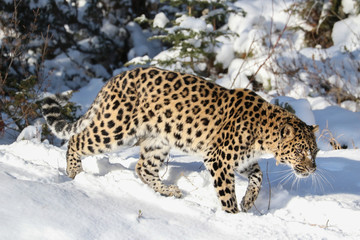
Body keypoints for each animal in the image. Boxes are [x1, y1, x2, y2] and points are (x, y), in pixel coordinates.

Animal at [40, 66, 320, 214]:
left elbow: (258, 176)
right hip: (115, 128)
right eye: (300, 151)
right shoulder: (219, 159)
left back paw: (169, 191)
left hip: (158, 141)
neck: (265, 136)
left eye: (315, 152)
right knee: (76, 139)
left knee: (143, 168)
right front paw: (234, 214)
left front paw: (249, 200)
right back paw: (74, 174)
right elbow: (226, 192)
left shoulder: (239, 160)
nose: (313, 169)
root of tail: (114, 78)